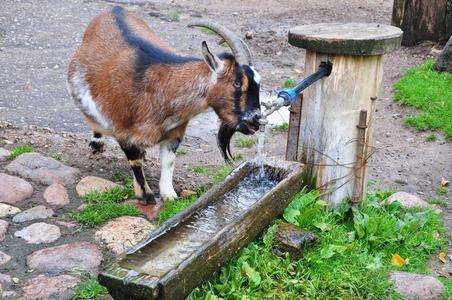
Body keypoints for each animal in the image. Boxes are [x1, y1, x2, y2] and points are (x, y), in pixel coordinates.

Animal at [67, 6, 262, 204]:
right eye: (237, 83)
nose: (255, 121)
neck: (161, 92)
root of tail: (114, 9)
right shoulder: (123, 131)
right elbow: (135, 163)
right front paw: (146, 196)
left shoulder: (174, 134)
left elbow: (168, 162)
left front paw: (170, 195)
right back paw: (97, 143)